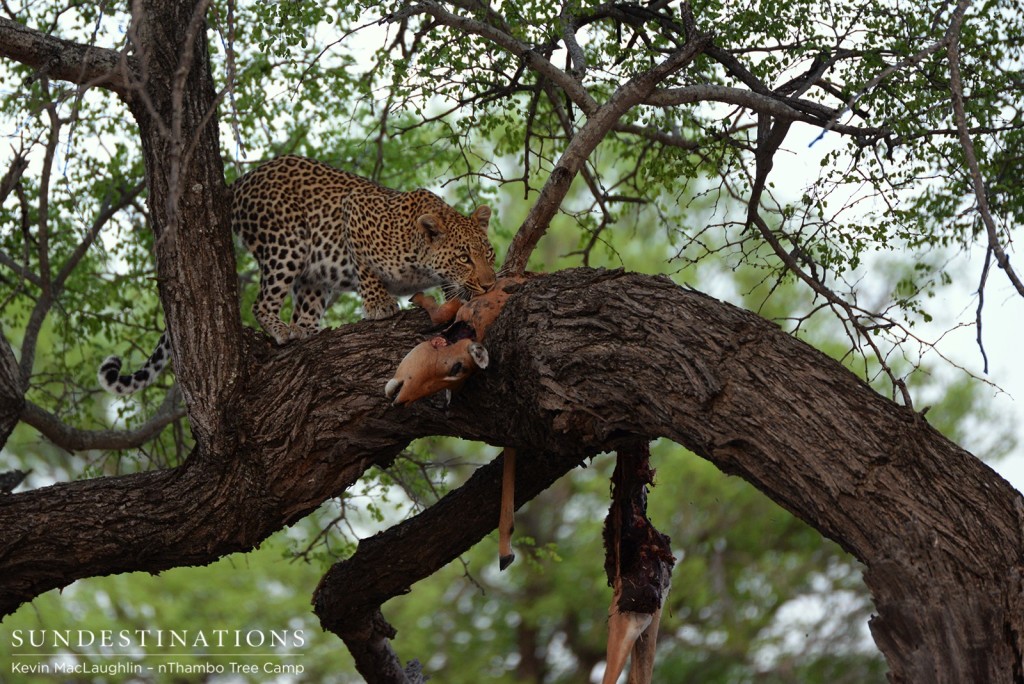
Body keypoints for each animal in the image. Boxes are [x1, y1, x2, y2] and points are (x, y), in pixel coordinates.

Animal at [98, 152, 495, 393]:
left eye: (488, 254)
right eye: (464, 257)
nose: (489, 282)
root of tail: (241, 181)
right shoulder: (354, 215)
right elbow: (368, 271)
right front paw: (380, 305)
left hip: (313, 275)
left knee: (302, 307)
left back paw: (306, 331)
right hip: (286, 244)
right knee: (262, 303)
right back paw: (282, 331)